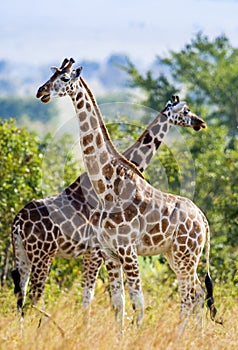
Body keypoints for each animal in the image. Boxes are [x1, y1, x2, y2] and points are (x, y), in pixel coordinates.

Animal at [34, 58, 220, 330]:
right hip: (177, 255)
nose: (41, 92)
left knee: (191, 294)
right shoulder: (109, 253)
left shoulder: (126, 251)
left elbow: (136, 301)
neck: (107, 187)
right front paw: (117, 334)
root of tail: (204, 220)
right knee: (196, 292)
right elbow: (118, 302)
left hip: (184, 255)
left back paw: (183, 335)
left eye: (65, 78)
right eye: (53, 76)